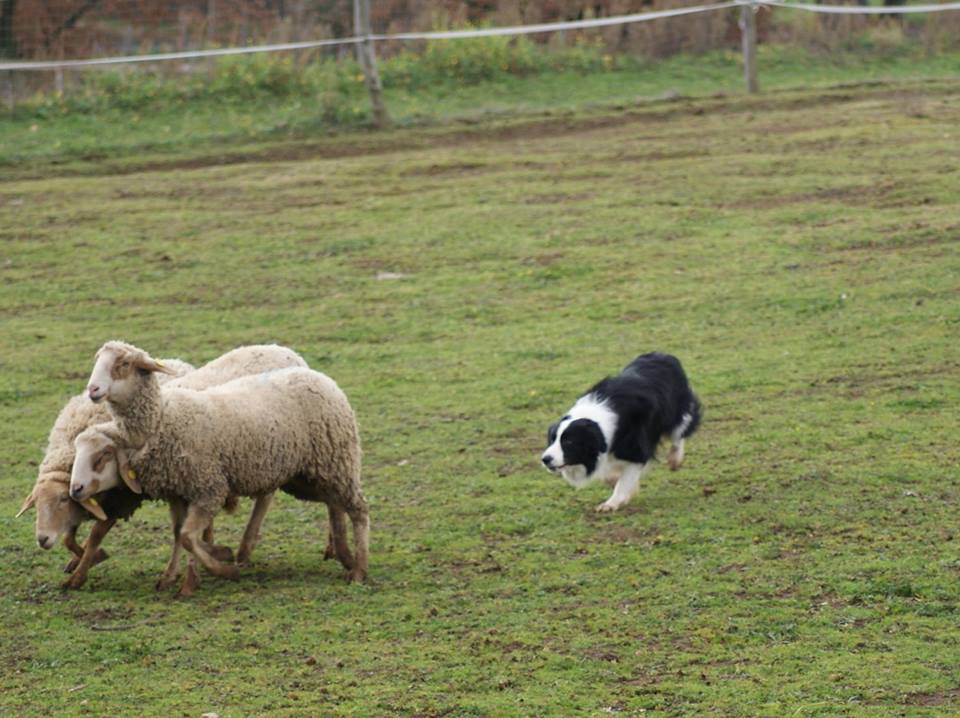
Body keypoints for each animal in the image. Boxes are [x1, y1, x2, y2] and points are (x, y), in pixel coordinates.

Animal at [72, 344, 368, 596]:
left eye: (122, 364)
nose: (92, 389)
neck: (161, 419)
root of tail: (319, 376)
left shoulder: (209, 488)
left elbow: (188, 537)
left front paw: (221, 570)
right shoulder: (178, 493)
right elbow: (180, 535)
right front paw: (177, 578)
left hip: (336, 460)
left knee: (358, 509)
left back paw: (359, 569)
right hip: (306, 475)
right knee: (333, 502)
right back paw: (344, 555)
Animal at [544, 352, 700, 512]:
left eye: (568, 441)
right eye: (552, 439)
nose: (545, 459)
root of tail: (663, 355)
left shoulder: (637, 450)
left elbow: (625, 479)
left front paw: (611, 503)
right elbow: (610, 475)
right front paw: (621, 485)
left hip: (677, 412)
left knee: (679, 433)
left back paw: (675, 459)